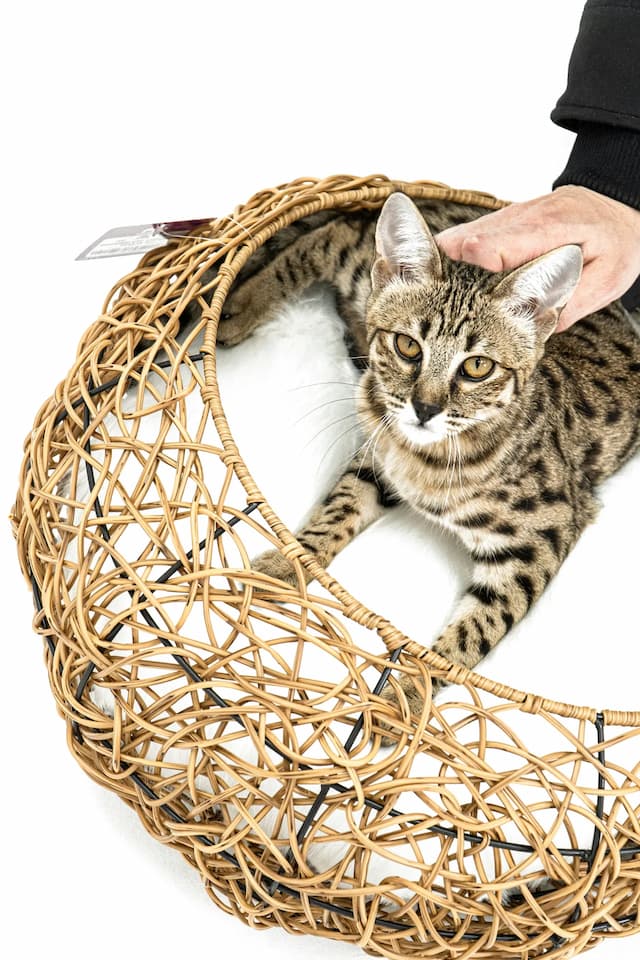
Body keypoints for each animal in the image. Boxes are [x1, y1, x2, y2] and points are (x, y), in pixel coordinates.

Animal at [208, 189, 636, 744]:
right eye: (408, 346)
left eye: (477, 367)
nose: (424, 408)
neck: (426, 455)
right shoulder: (377, 456)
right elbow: (335, 512)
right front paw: (288, 563)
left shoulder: (541, 537)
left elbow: (472, 635)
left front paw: (408, 697)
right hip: (362, 270)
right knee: (329, 235)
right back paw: (237, 308)